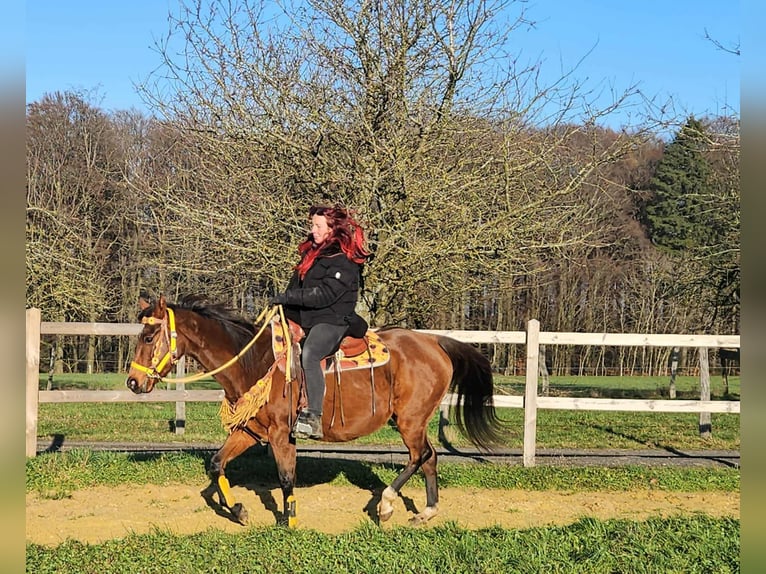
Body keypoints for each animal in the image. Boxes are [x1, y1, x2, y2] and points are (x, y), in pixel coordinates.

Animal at [126, 294, 508, 527]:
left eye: (148, 338)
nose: (132, 381)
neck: (256, 361)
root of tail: (435, 342)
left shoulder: (282, 434)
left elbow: (285, 477)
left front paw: (290, 521)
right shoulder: (251, 430)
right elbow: (217, 463)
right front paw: (239, 510)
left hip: (410, 421)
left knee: (419, 456)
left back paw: (385, 504)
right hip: (415, 421)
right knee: (429, 458)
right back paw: (425, 513)